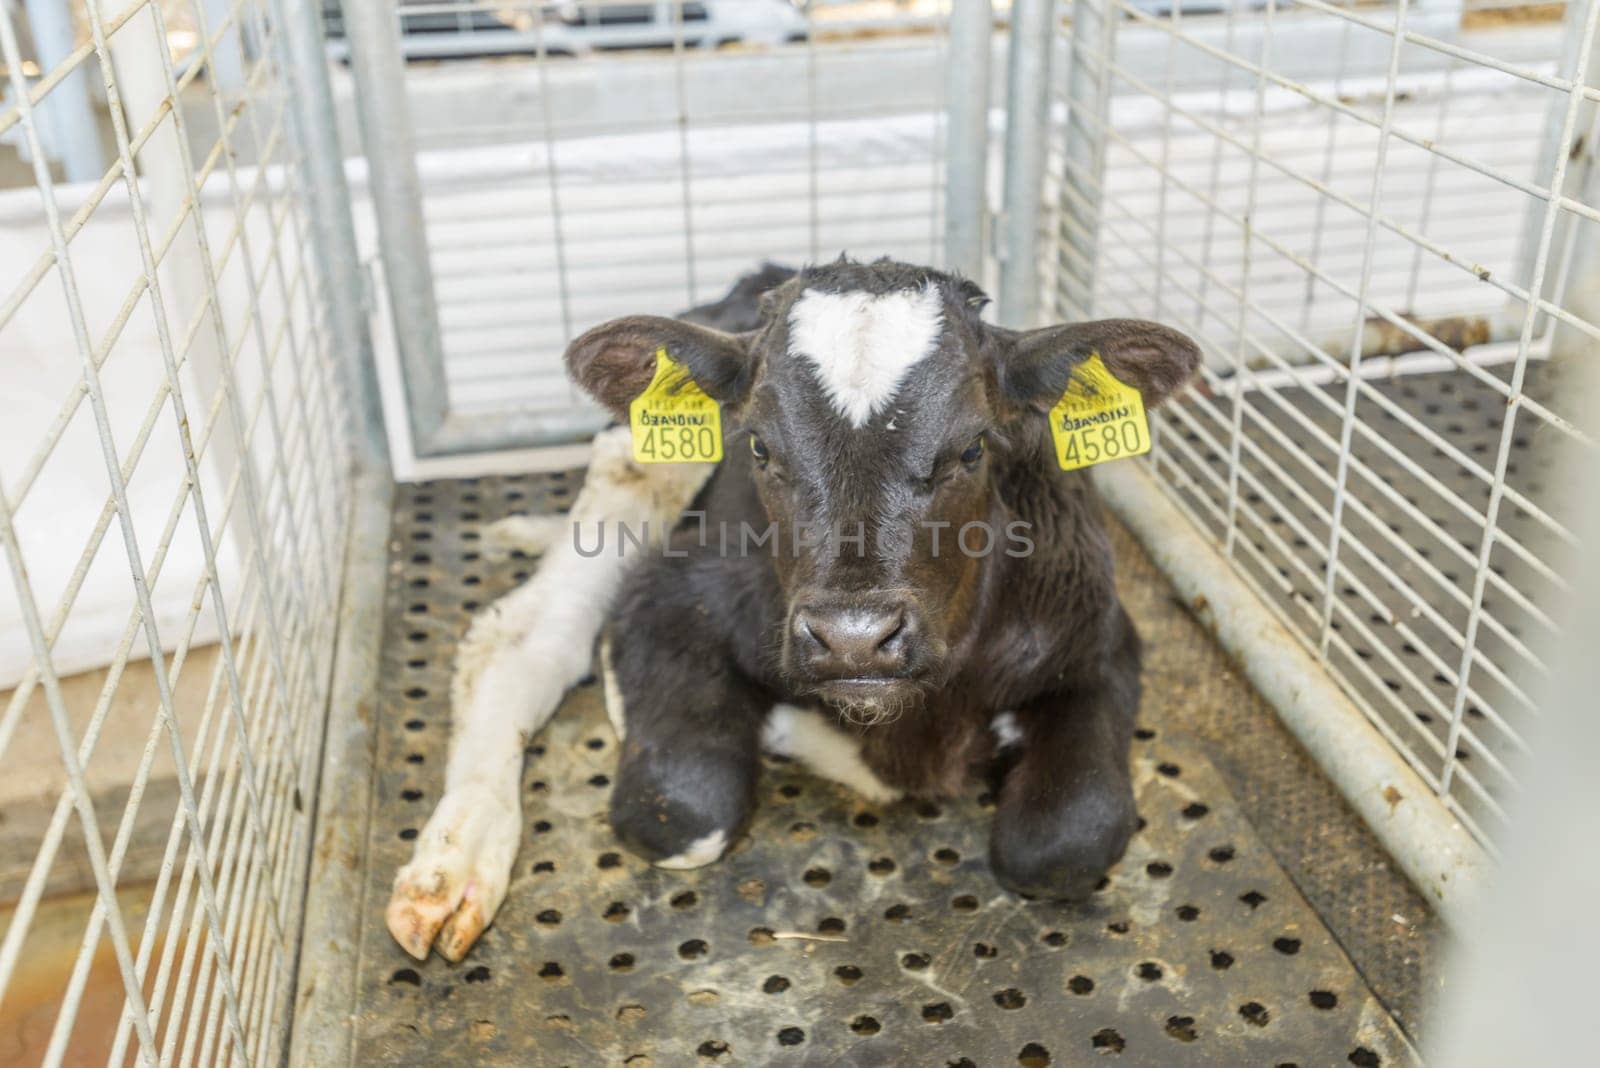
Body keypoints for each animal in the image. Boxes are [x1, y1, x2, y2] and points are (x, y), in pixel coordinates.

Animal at [380, 255, 1196, 959]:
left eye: (973, 449)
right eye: (759, 449)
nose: (855, 639)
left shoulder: (1098, 637)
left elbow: (1063, 842)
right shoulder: (669, 596)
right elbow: (679, 806)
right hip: (636, 466)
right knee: (523, 637)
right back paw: (455, 867)